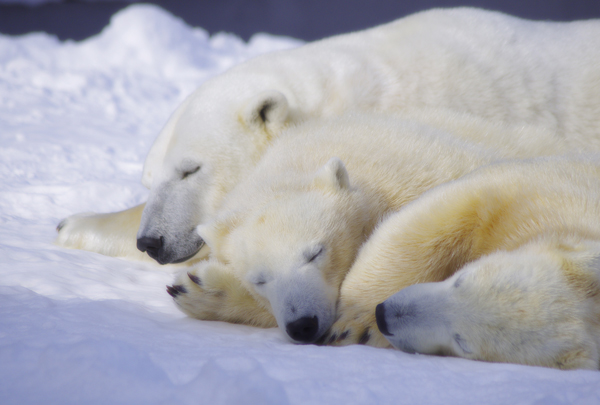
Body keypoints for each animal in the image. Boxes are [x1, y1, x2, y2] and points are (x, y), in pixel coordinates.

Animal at [326, 157, 600, 370]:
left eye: (462, 342)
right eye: (462, 278)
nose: (383, 315)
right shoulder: (543, 191)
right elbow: (449, 210)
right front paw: (355, 324)